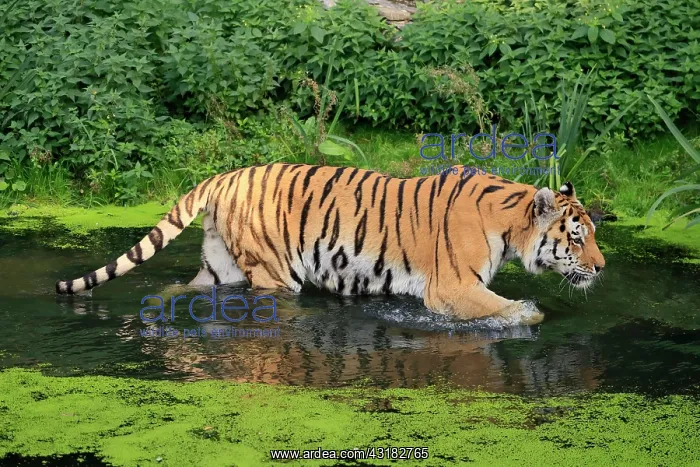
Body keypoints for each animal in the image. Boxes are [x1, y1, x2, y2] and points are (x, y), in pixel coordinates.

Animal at [56, 163, 605, 325]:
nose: (601, 268)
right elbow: (503, 309)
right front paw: (529, 314)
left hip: (219, 266)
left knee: (179, 287)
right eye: (576, 236)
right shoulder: (451, 288)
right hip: (273, 272)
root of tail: (224, 176)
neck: (509, 221)